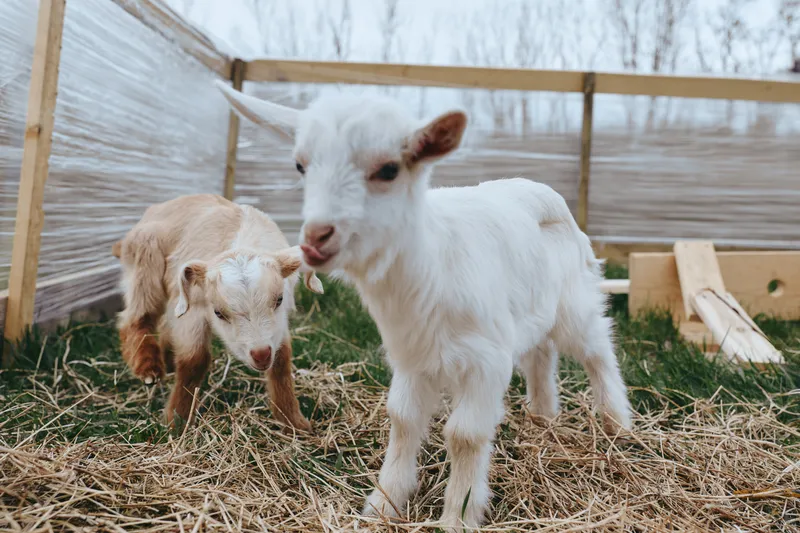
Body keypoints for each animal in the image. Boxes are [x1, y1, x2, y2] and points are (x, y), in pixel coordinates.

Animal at [113, 193, 322, 431]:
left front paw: (294, 423)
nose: (260, 354)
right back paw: (149, 368)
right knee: (136, 317)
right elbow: (194, 361)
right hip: (145, 262)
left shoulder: (279, 323)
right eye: (218, 313)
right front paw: (176, 422)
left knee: (164, 323)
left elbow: (281, 361)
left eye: (278, 300)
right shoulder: (193, 311)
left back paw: (167, 360)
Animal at [215, 82, 632, 531]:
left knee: (597, 350)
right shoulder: (411, 355)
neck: (429, 267)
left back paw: (617, 424)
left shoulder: (486, 360)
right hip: (529, 312)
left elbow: (465, 434)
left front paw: (458, 516)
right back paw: (543, 416)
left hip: (574, 302)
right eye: (300, 165)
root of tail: (544, 191)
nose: (315, 237)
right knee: (541, 353)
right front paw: (383, 504)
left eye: (388, 170)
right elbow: (402, 418)